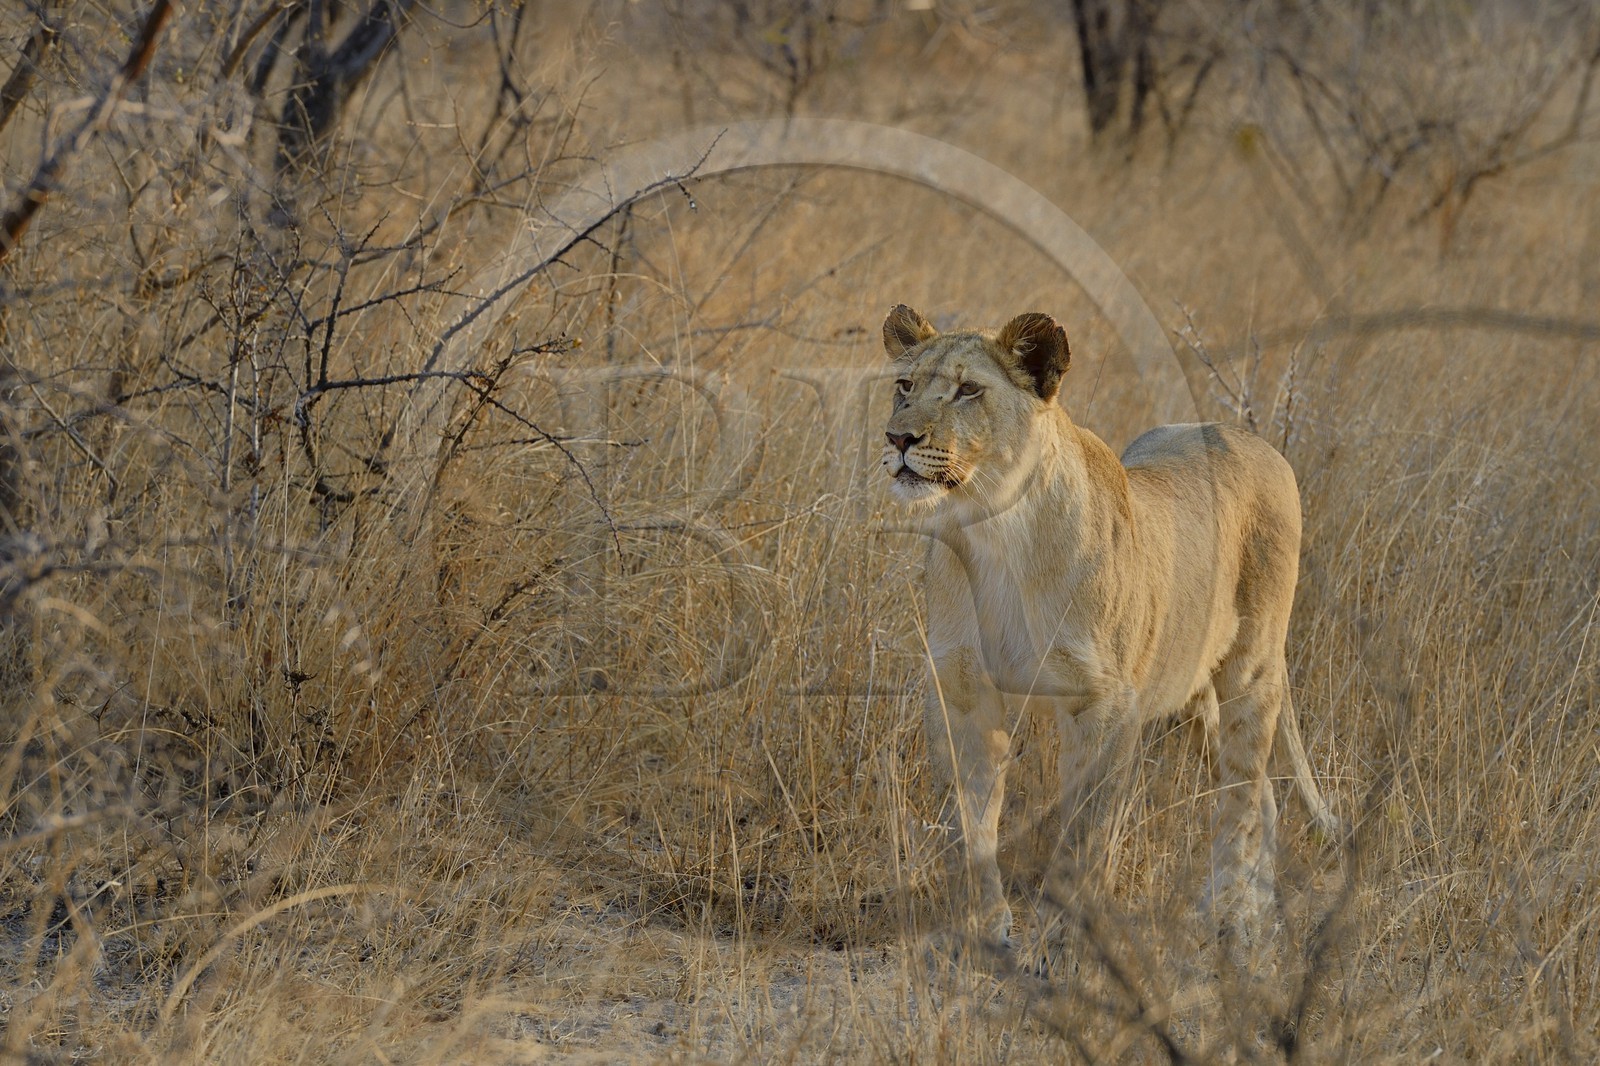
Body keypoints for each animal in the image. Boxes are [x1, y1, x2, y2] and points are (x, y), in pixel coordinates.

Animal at [879, 304, 1340, 955]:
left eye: (969, 391)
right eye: (904, 386)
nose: (899, 439)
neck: (993, 530)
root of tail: (1256, 440)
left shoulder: (1103, 701)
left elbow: (1081, 833)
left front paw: (1057, 945)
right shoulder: (962, 691)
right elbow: (967, 822)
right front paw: (983, 927)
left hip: (1251, 667)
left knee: (1243, 791)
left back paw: (1233, 918)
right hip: (1192, 696)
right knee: (1261, 796)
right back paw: (1251, 911)